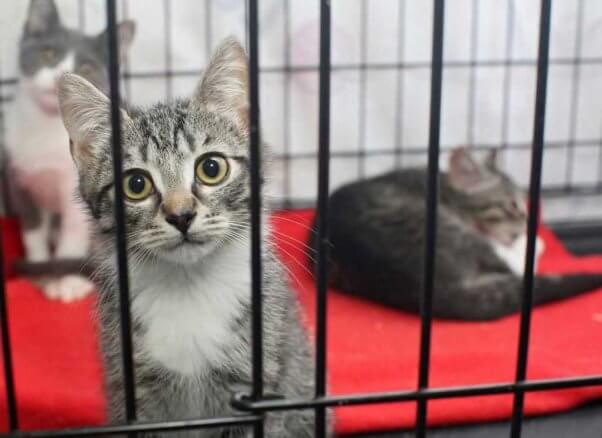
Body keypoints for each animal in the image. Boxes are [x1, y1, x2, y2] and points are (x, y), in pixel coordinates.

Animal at [3, 0, 135, 302]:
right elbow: (33, 231)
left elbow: (73, 234)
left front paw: (68, 282)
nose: (58, 78)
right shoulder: (18, 179)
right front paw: (40, 272)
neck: (45, 129)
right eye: (48, 53)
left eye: (86, 67)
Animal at [57, 39, 318, 436]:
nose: (181, 215)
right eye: (136, 184)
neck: (188, 285)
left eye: (211, 167)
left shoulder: (253, 389)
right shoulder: (136, 394)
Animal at [312, 149, 600, 320]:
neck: (441, 184)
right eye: (512, 206)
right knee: (514, 266)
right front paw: (529, 239)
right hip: (455, 232)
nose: (528, 223)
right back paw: (532, 245)